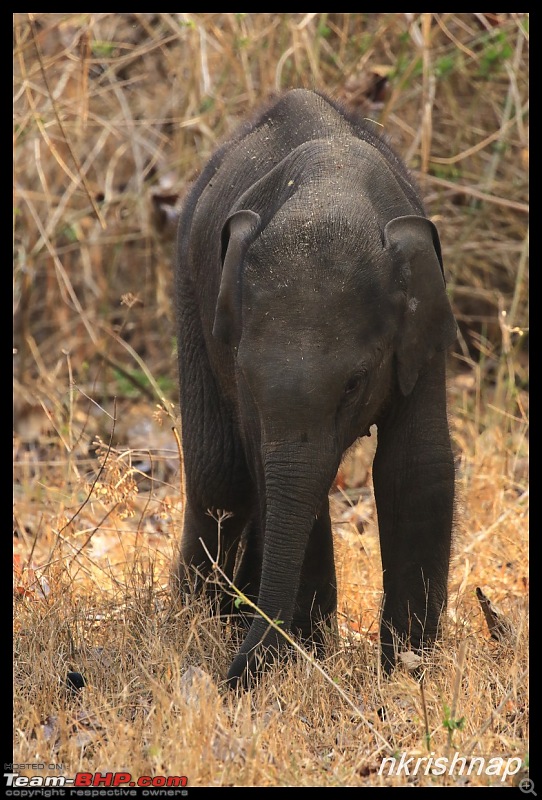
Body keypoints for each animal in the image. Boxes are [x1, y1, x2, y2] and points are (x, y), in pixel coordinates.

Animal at [173, 89, 454, 688]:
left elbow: (415, 466)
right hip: (187, 280)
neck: (329, 192)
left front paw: (407, 674)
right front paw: (306, 657)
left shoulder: (425, 326)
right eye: (248, 375)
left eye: (354, 382)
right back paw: (195, 617)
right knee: (220, 473)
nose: (228, 683)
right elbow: (270, 468)